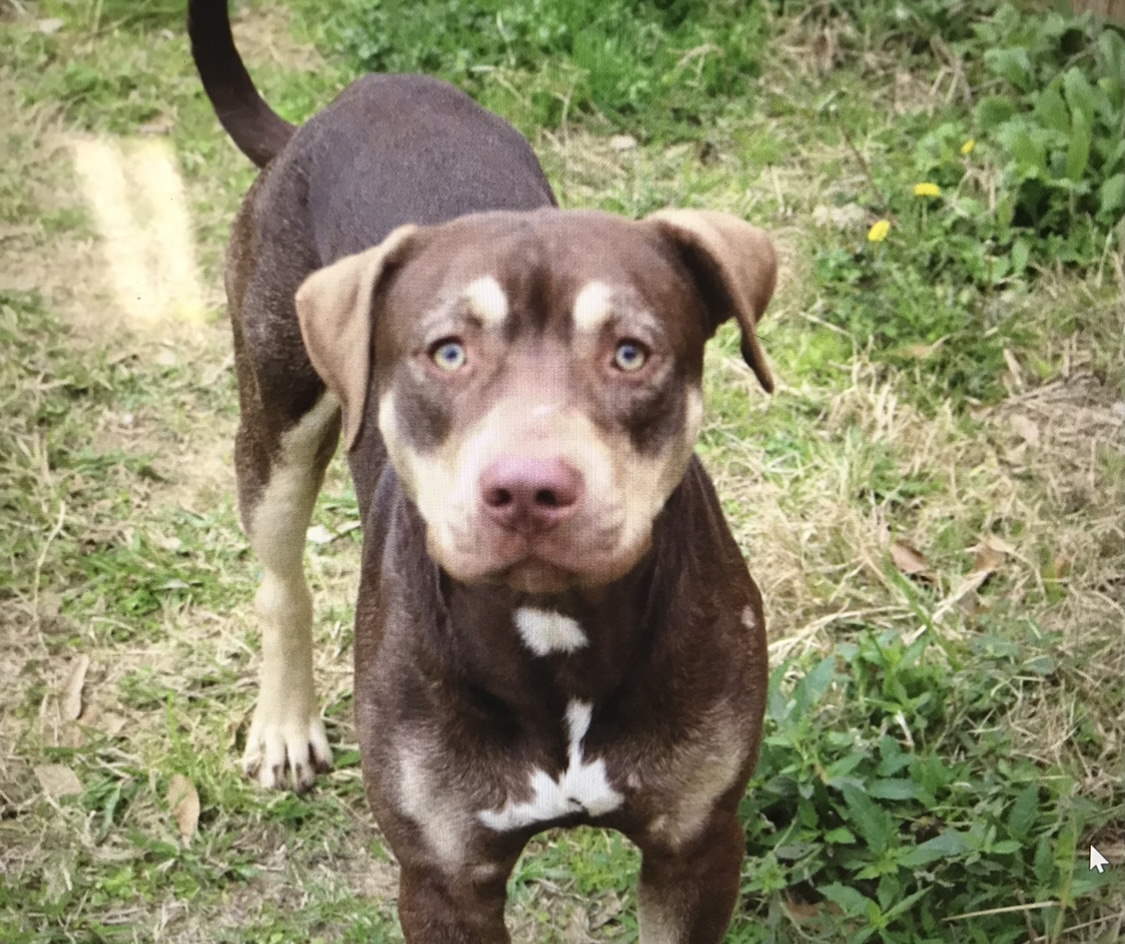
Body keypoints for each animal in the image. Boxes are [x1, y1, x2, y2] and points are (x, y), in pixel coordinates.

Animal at [189, 3, 778, 940]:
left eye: (630, 352)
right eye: (448, 352)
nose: (528, 489)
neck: (552, 626)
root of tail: (333, 108)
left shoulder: (695, 846)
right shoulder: (442, 875)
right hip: (273, 419)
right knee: (280, 577)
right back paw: (283, 723)